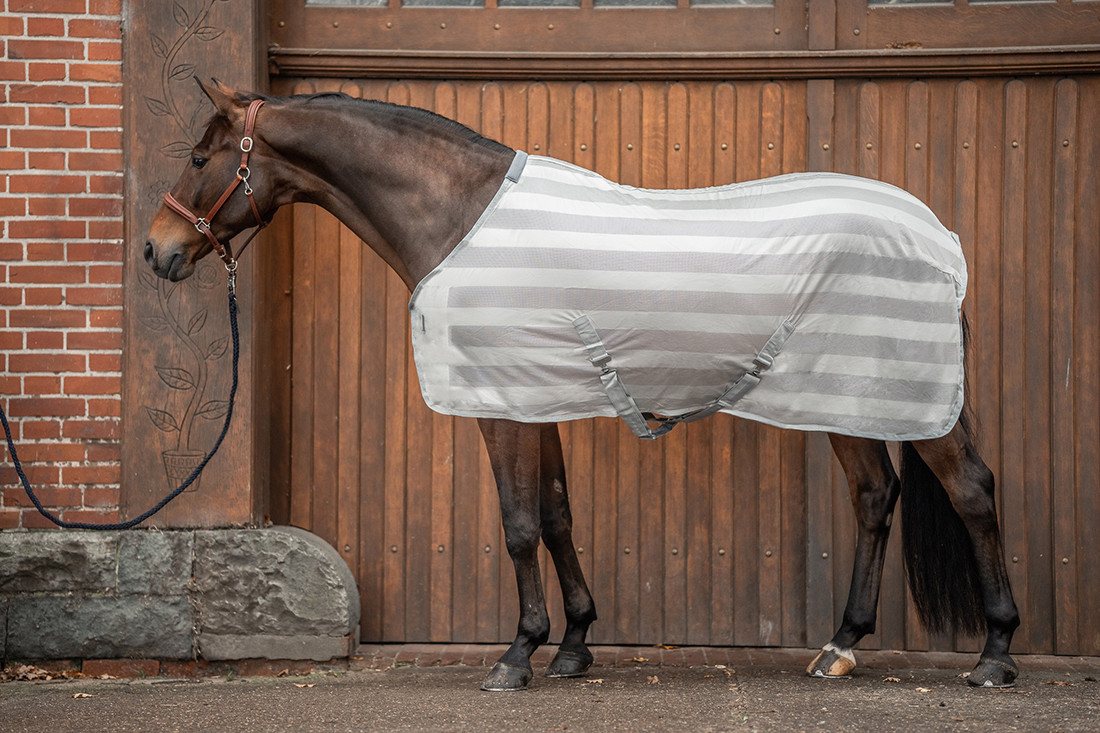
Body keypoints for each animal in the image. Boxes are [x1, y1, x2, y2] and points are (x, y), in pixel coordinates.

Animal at [145, 79, 1020, 691]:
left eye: (198, 158)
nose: (157, 251)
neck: (462, 216)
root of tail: (936, 234)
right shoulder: (538, 398)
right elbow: (559, 513)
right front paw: (572, 644)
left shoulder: (501, 405)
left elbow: (519, 523)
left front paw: (517, 653)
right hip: (845, 396)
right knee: (874, 496)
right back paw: (840, 645)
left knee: (972, 490)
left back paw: (995, 652)